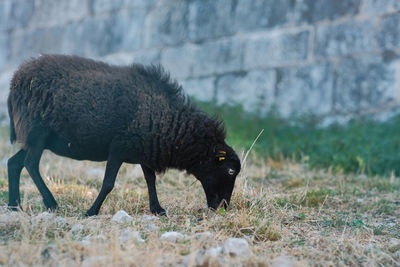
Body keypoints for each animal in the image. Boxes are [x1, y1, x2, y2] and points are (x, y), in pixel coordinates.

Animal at [7, 54, 241, 216]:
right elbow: (108, 183)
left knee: (14, 163)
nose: (222, 207)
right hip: (37, 133)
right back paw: (51, 203)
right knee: (30, 164)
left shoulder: (144, 150)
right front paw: (91, 212)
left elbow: (150, 180)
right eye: (230, 171)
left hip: (38, 139)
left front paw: (157, 209)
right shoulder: (118, 148)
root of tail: (15, 81)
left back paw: (13, 205)